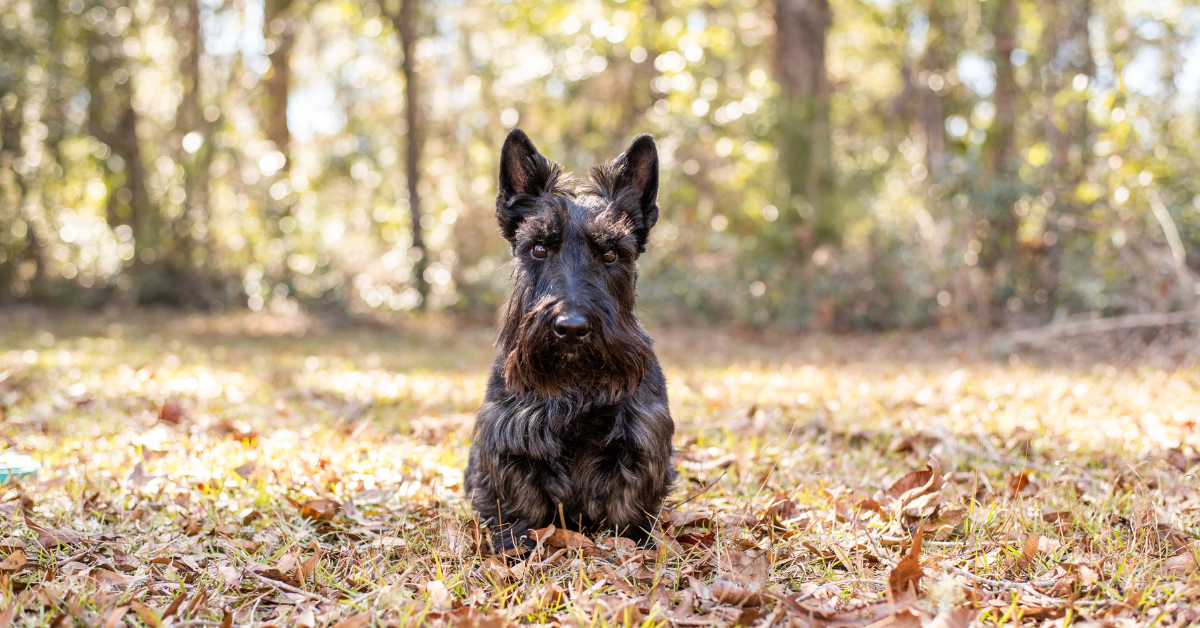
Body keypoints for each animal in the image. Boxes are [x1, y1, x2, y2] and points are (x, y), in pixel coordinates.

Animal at [463, 130, 676, 552]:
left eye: (610, 253)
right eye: (539, 247)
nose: (572, 327)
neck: (576, 383)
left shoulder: (642, 444)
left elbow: (629, 506)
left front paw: (633, 546)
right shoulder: (507, 442)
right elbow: (520, 502)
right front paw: (514, 546)